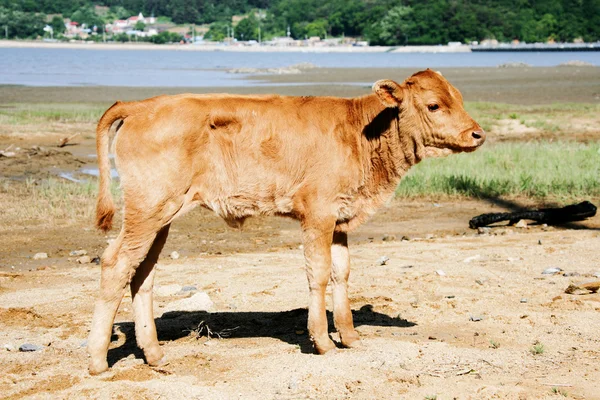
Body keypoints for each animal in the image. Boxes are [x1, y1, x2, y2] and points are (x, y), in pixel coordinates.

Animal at [88, 69, 482, 376]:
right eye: (434, 105)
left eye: (460, 98)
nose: (477, 134)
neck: (361, 134)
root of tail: (142, 105)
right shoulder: (318, 213)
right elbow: (318, 272)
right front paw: (322, 341)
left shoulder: (340, 218)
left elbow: (342, 272)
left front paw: (350, 336)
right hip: (148, 208)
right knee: (116, 263)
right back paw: (97, 361)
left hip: (160, 216)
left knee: (142, 272)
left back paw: (154, 354)